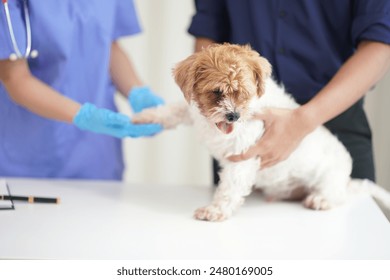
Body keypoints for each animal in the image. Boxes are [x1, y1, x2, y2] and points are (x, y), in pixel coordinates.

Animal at [132, 43, 390, 222]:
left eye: (244, 93)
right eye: (217, 92)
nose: (233, 115)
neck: (213, 126)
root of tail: (346, 179)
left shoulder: (243, 158)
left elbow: (229, 188)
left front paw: (215, 210)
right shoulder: (191, 111)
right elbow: (170, 111)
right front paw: (143, 117)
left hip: (330, 179)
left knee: (336, 195)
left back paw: (320, 199)